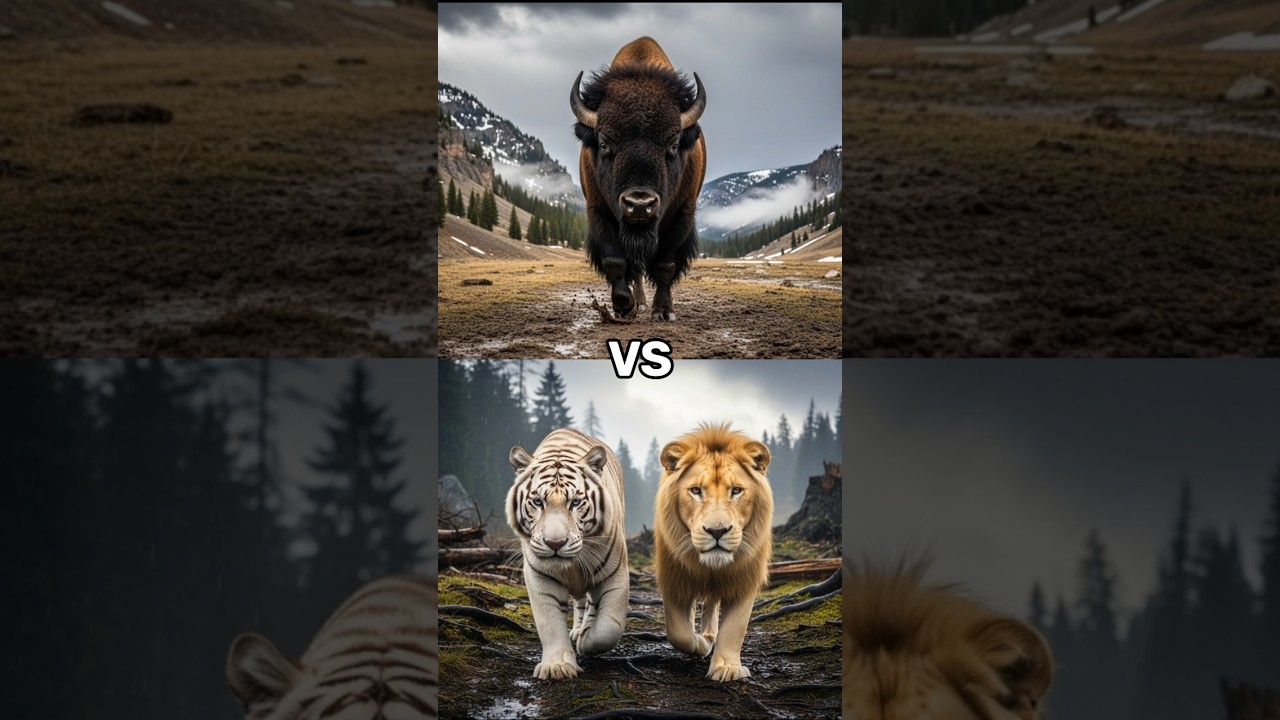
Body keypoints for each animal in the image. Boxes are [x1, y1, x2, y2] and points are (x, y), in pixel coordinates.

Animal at [507, 427, 629, 680]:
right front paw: (557, 666)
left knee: (592, 605)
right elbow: (550, 624)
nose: (555, 543)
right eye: (537, 502)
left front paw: (586, 641)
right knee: (581, 603)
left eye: (575, 502)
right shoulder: (539, 576)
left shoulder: (615, 574)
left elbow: (609, 628)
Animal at [654, 424, 773, 682]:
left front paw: (726, 667)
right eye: (696, 490)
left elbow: (735, 628)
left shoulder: (743, 578)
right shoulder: (674, 578)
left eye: (736, 490)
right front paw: (701, 644)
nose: (717, 531)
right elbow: (678, 632)